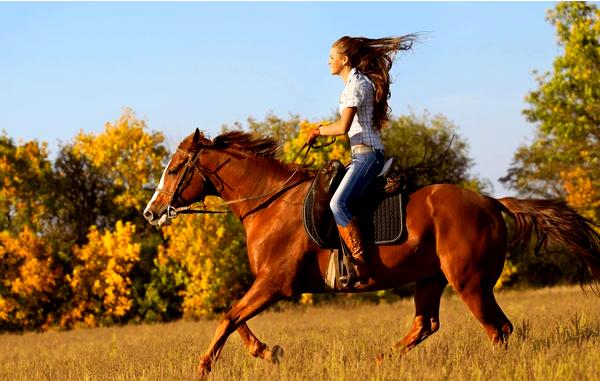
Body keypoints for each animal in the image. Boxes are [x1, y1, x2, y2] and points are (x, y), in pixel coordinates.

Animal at [144, 128, 600, 378]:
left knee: (498, 329)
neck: (269, 202)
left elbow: (228, 317)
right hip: (430, 279)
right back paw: (381, 360)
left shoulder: (275, 283)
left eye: (174, 168)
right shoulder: (267, 285)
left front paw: (204, 367)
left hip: (469, 283)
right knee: (426, 325)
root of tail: (490, 201)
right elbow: (234, 317)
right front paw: (267, 352)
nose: (151, 212)